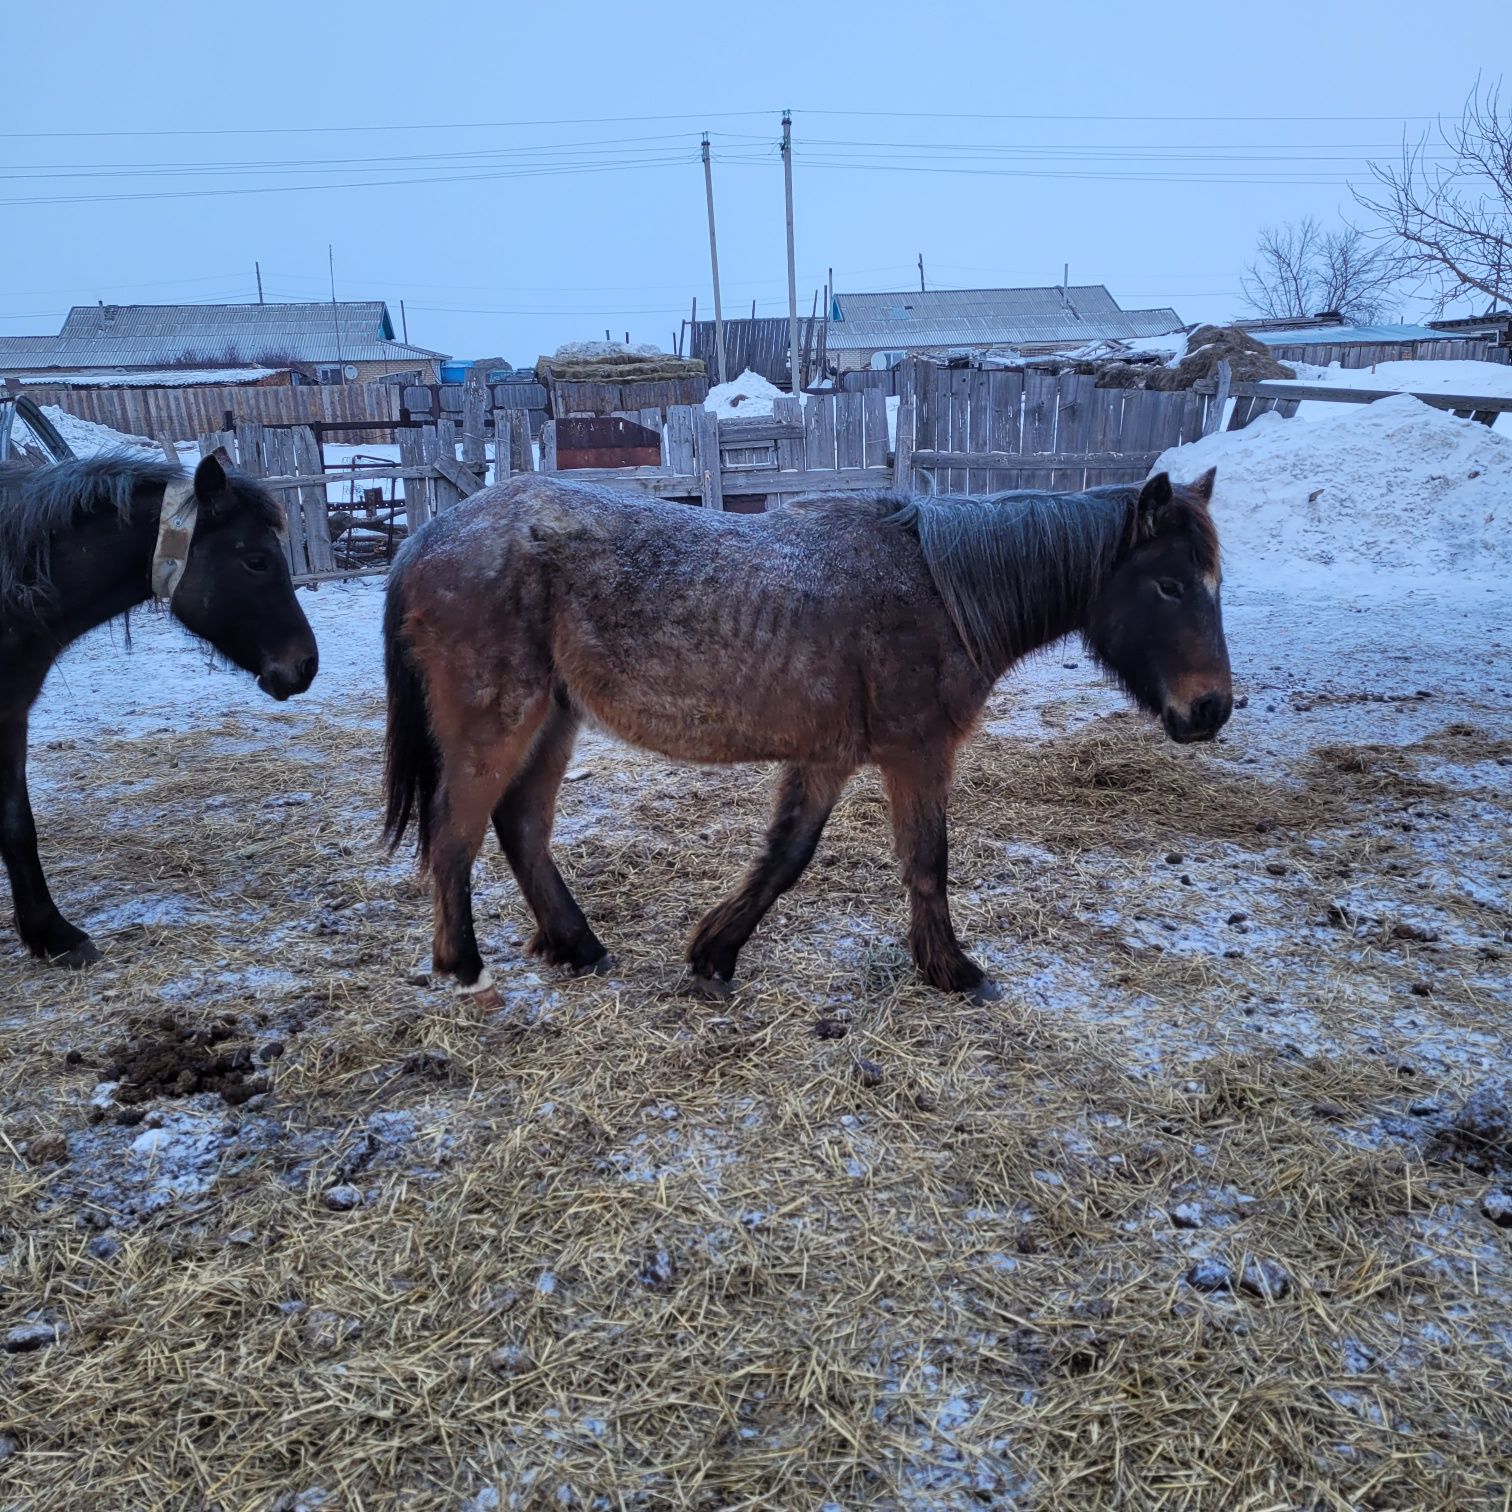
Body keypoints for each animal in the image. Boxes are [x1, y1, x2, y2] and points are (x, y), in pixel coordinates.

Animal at [384, 465, 1233, 997]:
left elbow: (785, 857)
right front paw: (953, 971)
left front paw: (714, 952)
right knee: (455, 835)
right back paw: (463, 968)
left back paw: (578, 946)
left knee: (521, 828)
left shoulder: (827, 759)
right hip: (499, 722)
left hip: (553, 721)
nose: (1212, 709)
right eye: (1168, 585)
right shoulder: (917, 754)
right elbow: (928, 861)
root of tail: (429, 536)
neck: (938, 590)